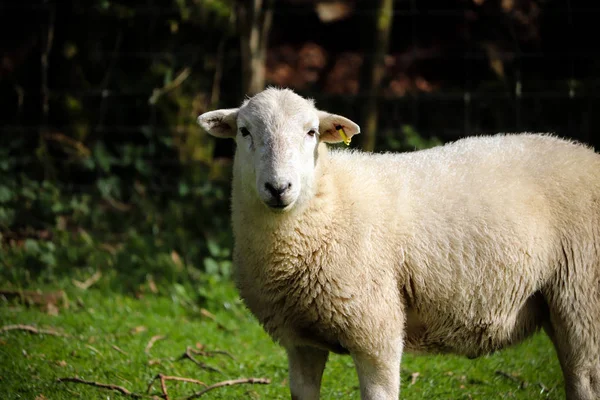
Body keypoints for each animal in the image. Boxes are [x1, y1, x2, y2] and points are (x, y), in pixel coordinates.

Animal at [198, 87, 600, 400]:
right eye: (244, 131)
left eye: (311, 132)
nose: (279, 188)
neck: (330, 204)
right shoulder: (301, 340)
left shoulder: (376, 329)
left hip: (583, 294)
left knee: (585, 379)